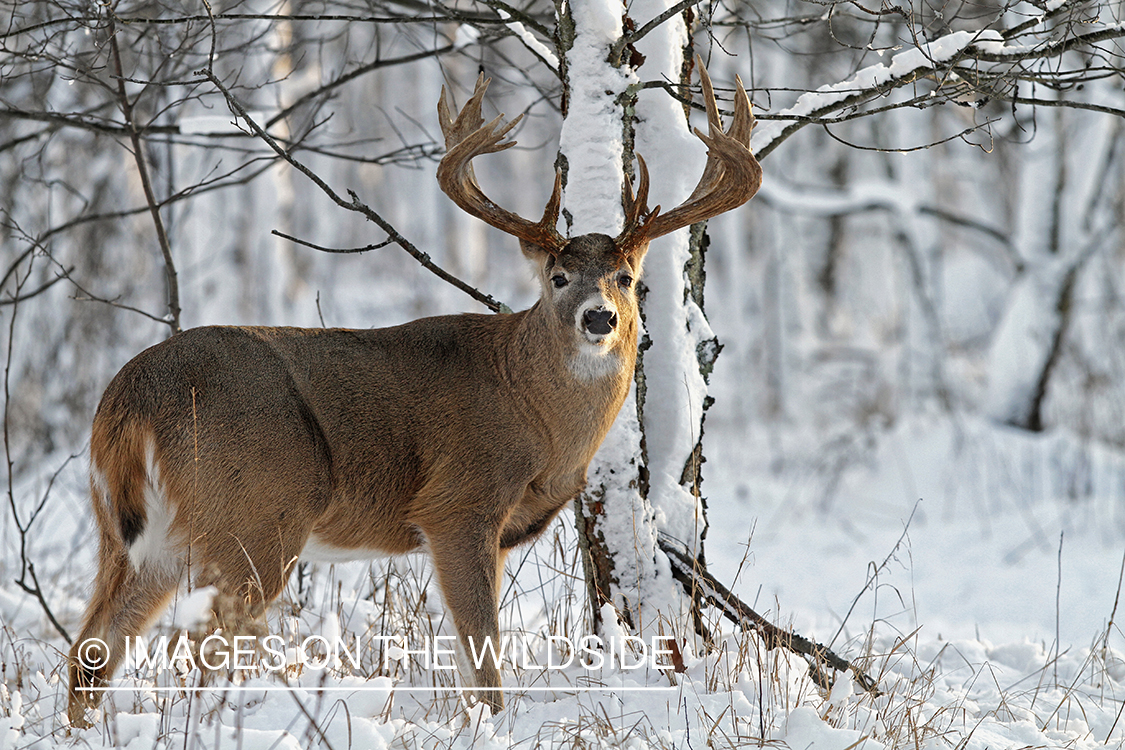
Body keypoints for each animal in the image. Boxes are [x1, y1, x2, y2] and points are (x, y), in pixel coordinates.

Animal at [68, 58, 765, 728]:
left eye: (625, 276)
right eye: (558, 276)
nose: (599, 318)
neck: (536, 416)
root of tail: (129, 396)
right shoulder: (457, 502)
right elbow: (483, 657)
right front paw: (491, 726)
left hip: (133, 532)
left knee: (92, 647)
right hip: (255, 517)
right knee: (196, 645)